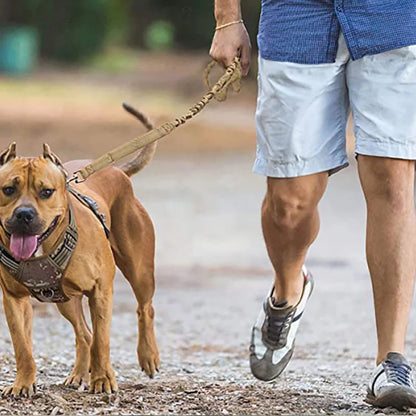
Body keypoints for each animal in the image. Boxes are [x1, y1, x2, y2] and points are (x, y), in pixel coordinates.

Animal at [0, 108, 159, 396]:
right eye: (8, 189)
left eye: (46, 191)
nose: (24, 214)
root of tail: (117, 171)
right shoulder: (14, 299)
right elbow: (22, 347)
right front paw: (23, 384)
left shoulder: (101, 290)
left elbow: (103, 340)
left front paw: (103, 379)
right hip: (65, 299)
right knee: (84, 333)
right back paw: (78, 374)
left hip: (139, 270)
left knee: (144, 308)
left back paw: (148, 356)